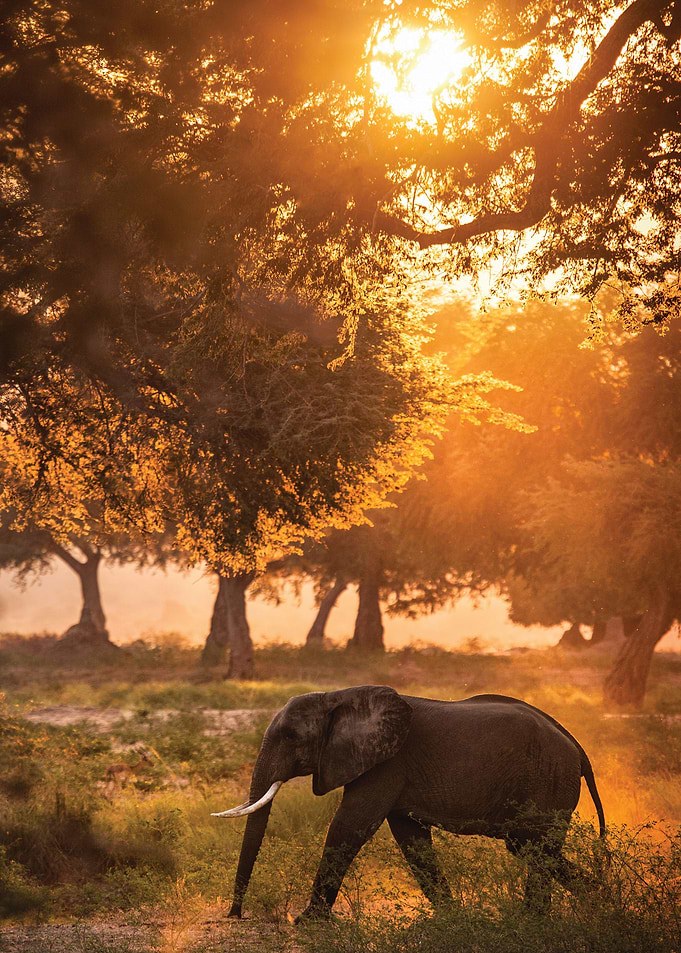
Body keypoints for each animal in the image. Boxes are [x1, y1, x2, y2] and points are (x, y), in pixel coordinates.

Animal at [214, 686, 606, 921]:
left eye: (291, 735)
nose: (236, 915)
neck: (339, 696)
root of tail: (576, 746)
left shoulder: (387, 763)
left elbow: (348, 827)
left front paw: (307, 923)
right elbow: (411, 839)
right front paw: (452, 919)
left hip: (548, 779)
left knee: (537, 847)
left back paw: (538, 919)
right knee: (530, 848)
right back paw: (597, 901)